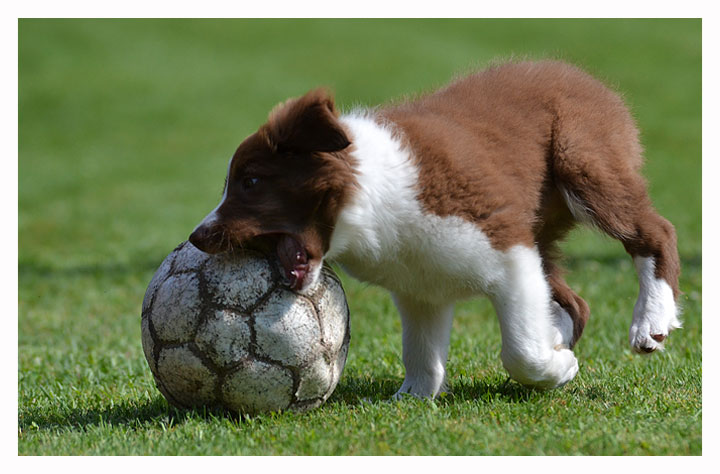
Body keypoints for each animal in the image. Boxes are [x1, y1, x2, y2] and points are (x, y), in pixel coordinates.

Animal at [189, 60, 681, 398]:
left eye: (251, 182)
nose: (197, 237)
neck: (370, 200)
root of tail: (587, 79)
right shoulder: (420, 283)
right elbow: (421, 351)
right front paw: (413, 397)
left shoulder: (506, 247)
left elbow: (520, 349)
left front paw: (559, 369)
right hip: (541, 225)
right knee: (575, 302)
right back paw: (561, 334)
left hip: (583, 163)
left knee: (656, 232)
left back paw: (650, 321)